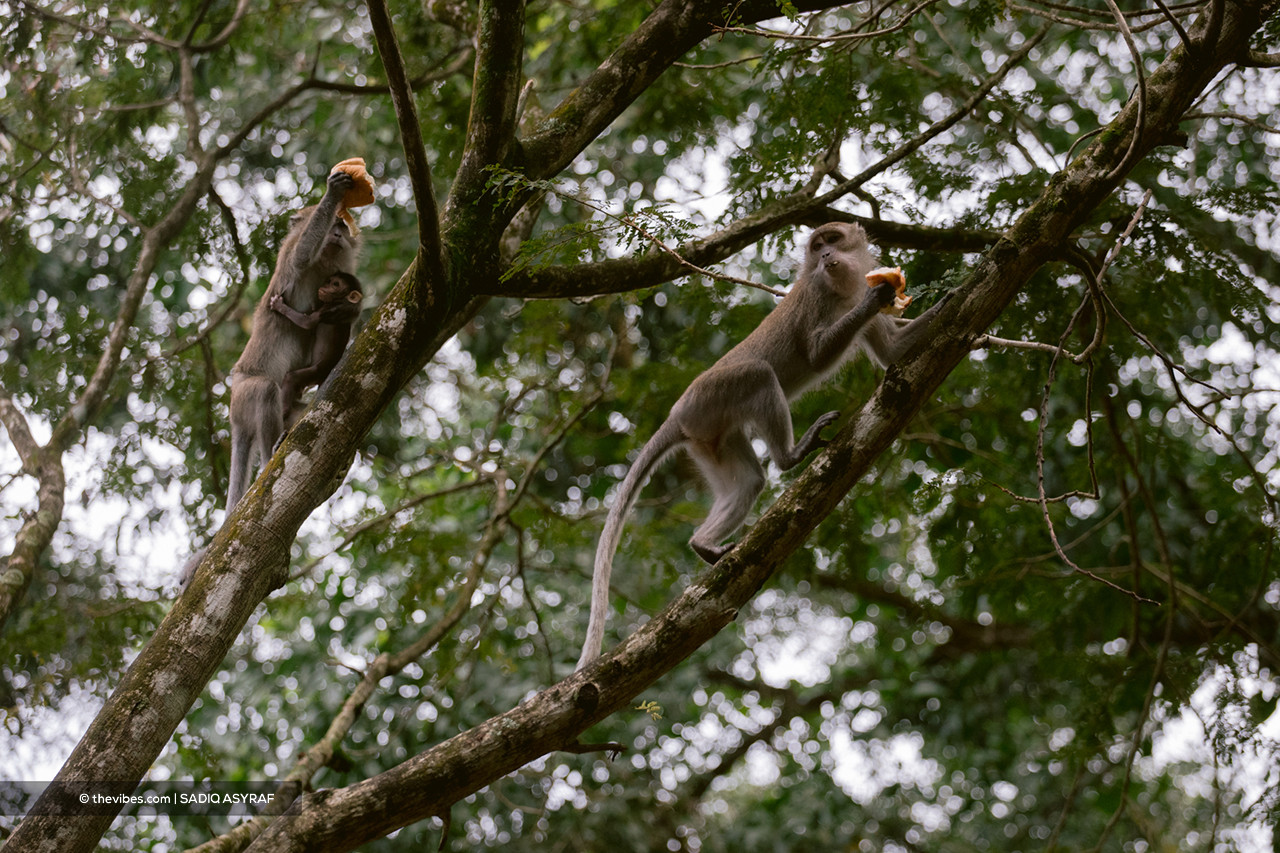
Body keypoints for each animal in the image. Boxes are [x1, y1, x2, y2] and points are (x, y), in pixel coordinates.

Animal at [268, 271, 364, 424]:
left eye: (335, 284)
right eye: (329, 281)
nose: (324, 286)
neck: (341, 301)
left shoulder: (329, 309)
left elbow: (308, 322)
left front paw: (279, 306)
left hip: (318, 371)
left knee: (292, 378)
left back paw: (283, 412)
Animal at [576, 222, 949, 669]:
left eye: (833, 240)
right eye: (817, 247)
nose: (826, 256)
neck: (842, 289)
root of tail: (678, 414)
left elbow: (894, 351)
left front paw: (955, 300)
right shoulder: (816, 296)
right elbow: (817, 352)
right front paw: (881, 299)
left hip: (709, 438)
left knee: (748, 481)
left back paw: (703, 544)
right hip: (712, 395)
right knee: (759, 373)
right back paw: (790, 457)